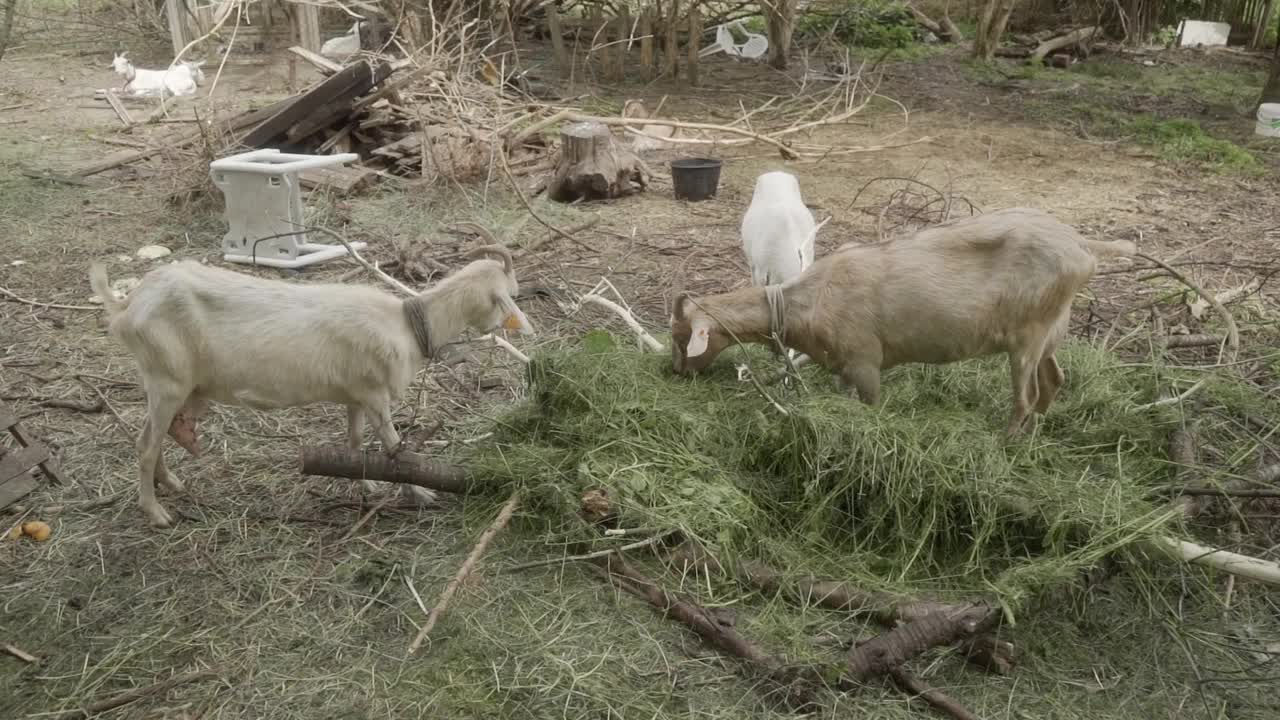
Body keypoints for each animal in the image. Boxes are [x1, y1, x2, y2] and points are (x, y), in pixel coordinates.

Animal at [88, 245, 529, 527]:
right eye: (511, 294)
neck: (406, 324)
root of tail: (127, 306)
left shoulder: (356, 394)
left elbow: (354, 442)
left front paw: (366, 483)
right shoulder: (376, 395)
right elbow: (395, 449)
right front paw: (421, 494)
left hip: (170, 383)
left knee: (152, 436)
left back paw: (171, 484)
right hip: (167, 381)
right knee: (145, 445)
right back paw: (156, 514)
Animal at [665, 204, 1136, 435]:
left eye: (681, 336)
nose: (676, 372)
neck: (808, 298)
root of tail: (1083, 246)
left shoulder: (865, 361)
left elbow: (872, 404)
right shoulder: (844, 366)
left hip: (1028, 336)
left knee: (1026, 395)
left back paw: (1007, 442)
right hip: (1053, 329)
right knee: (1053, 381)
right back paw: (1034, 434)